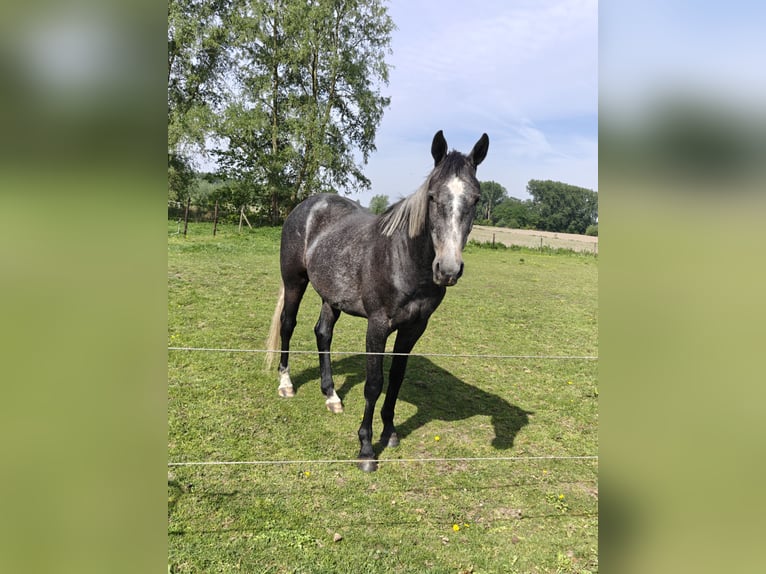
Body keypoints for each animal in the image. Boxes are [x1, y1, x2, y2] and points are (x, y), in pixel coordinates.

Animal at [265, 130, 489, 471]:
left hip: (331, 297)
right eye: (432, 196)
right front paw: (367, 449)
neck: (403, 259)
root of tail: (307, 206)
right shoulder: (378, 325)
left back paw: (331, 395)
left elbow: (396, 379)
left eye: (475, 199)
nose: (448, 269)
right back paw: (286, 384)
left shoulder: (414, 328)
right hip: (295, 282)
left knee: (323, 333)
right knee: (287, 325)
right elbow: (374, 383)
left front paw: (390, 432)